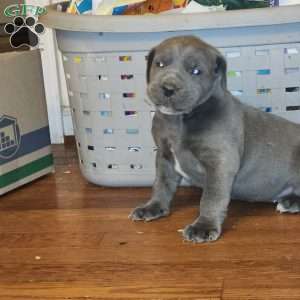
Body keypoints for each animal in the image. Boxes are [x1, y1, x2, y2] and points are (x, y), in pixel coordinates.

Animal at [129, 35, 300, 243]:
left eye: (196, 71)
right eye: (159, 64)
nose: (168, 88)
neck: (180, 120)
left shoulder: (220, 162)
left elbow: (211, 197)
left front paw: (203, 227)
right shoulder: (164, 156)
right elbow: (162, 184)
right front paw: (153, 207)